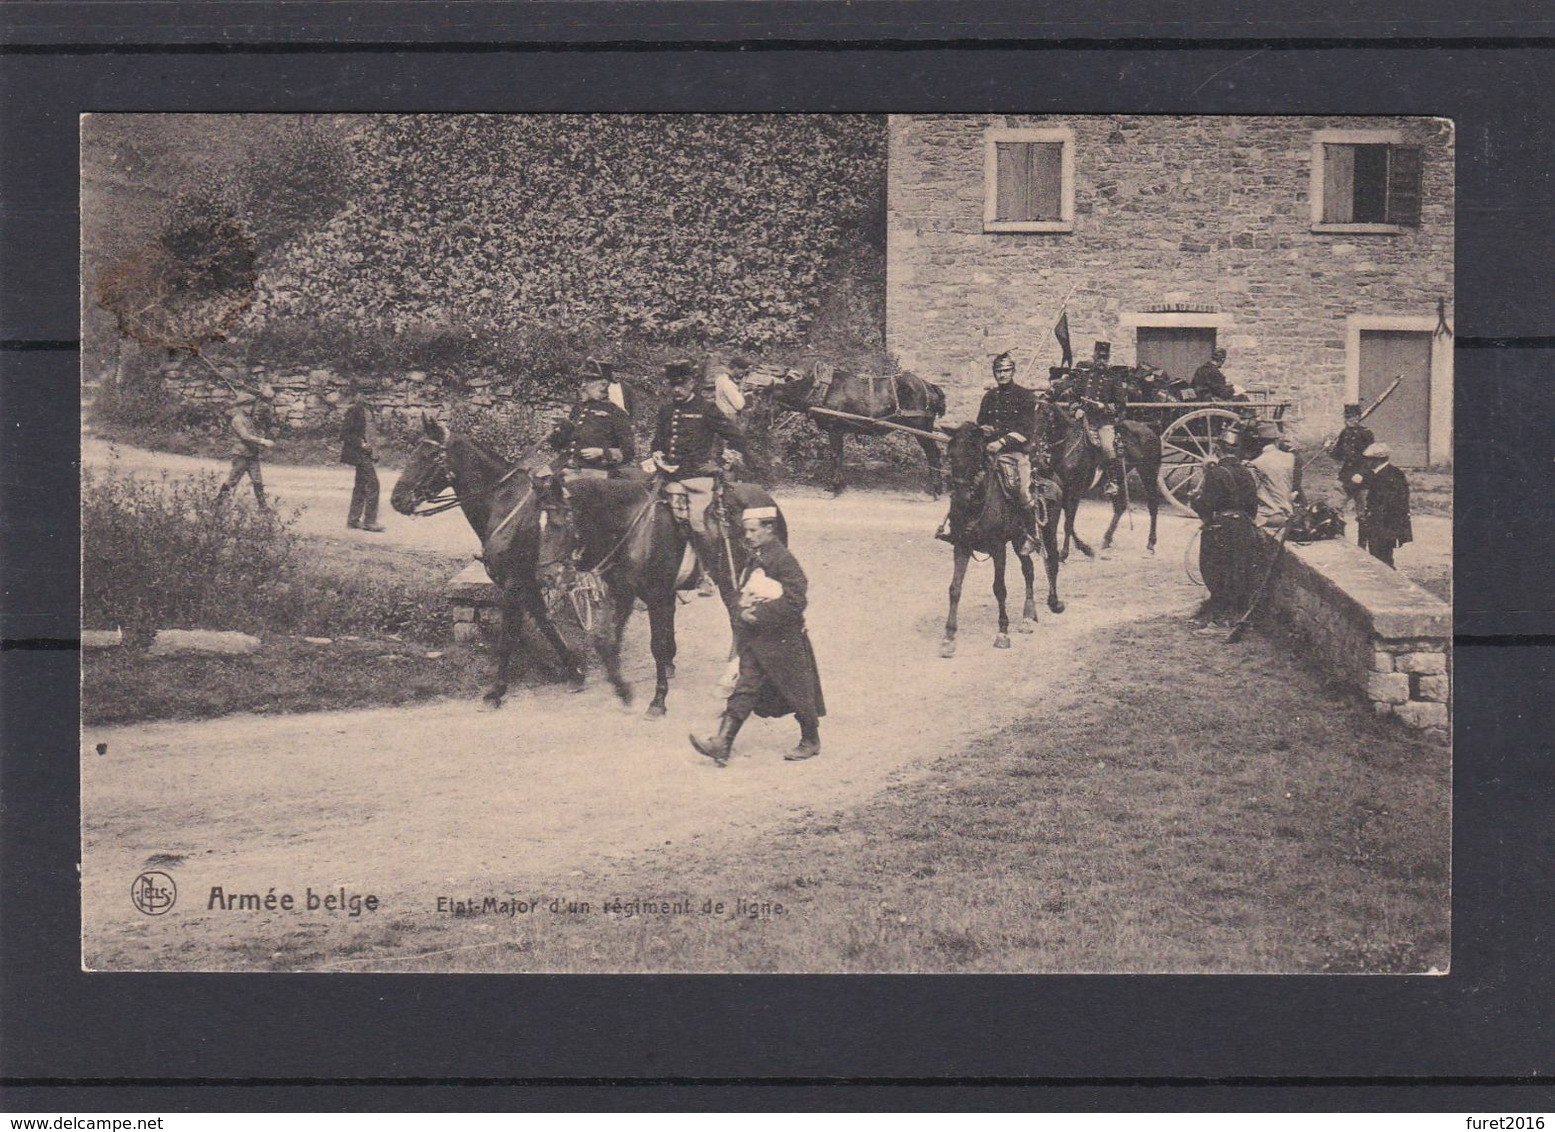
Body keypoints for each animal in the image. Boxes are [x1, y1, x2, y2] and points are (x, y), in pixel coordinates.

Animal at [388, 416, 584, 709]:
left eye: (430, 455)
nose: (397, 500)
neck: (503, 503)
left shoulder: (514, 583)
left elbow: (507, 638)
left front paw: (496, 689)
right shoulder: (525, 582)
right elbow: (546, 622)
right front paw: (574, 670)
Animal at [765, 362, 945, 494]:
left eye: (763, 398)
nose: (765, 423)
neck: (816, 389)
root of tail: (930, 385)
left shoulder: (834, 429)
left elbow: (836, 455)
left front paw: (834, 485)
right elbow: (840, 456)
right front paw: (841, 483)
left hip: (921, 428)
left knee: (933, 453)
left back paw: (936, 487)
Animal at [1044, 401, 1169, 562]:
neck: (1068, 445)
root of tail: (1150, 431)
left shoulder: (1075, 490)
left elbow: (1068, 522)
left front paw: (1066, 553)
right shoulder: (1063, 490)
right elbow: (1068, 522)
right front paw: (1085, 549)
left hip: (1148, 472)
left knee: (1153, 504)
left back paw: (1150, 545)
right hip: (1120, 476)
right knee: (1120, 506)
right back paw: (1107, 539)